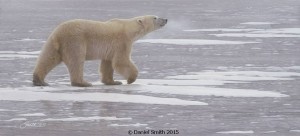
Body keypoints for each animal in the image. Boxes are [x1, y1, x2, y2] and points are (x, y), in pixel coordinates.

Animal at [33, 15, 169, 87]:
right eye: (155, 17)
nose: (165, 19)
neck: (128, 29)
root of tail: (58, 33)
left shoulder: (111, 48)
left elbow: (108, 64)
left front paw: (113, 82)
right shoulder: (122, 42)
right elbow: (121, 61)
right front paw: (131, 79)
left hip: (54, 43)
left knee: (48, 58)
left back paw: (39, 80)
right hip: (75, 41)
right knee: (76, 61)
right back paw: (83, 83)